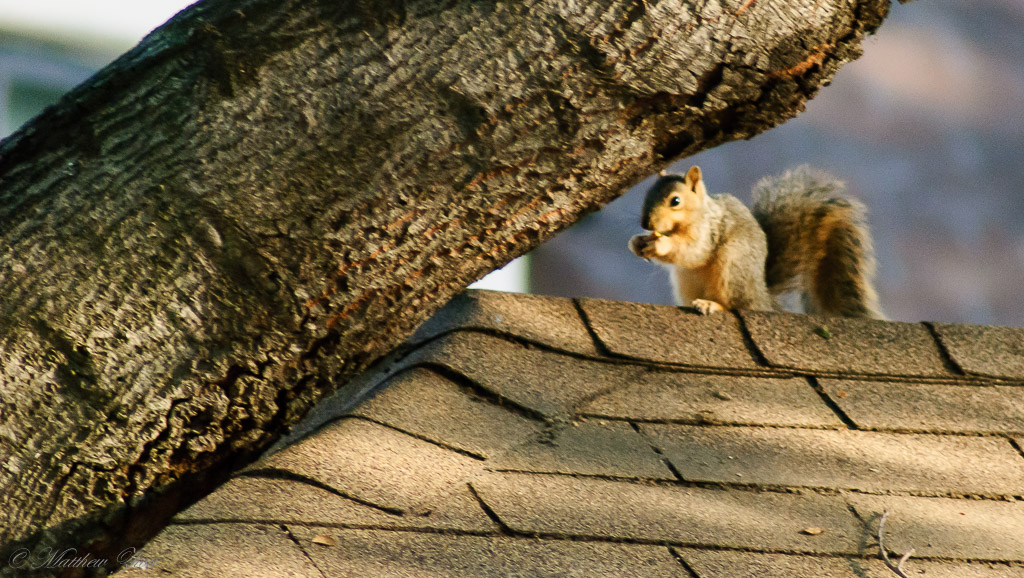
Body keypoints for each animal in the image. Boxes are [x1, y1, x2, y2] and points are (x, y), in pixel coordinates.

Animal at [626, 164, 884, 317]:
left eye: (676, 201)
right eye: (647, 195)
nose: (647, 223)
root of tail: (761, 296)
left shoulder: (709, 230)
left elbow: (694, 251)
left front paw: (661, 244)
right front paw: (637, 242)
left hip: (732, 269)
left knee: (736, 305)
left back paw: (712, 305)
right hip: (686, 282)